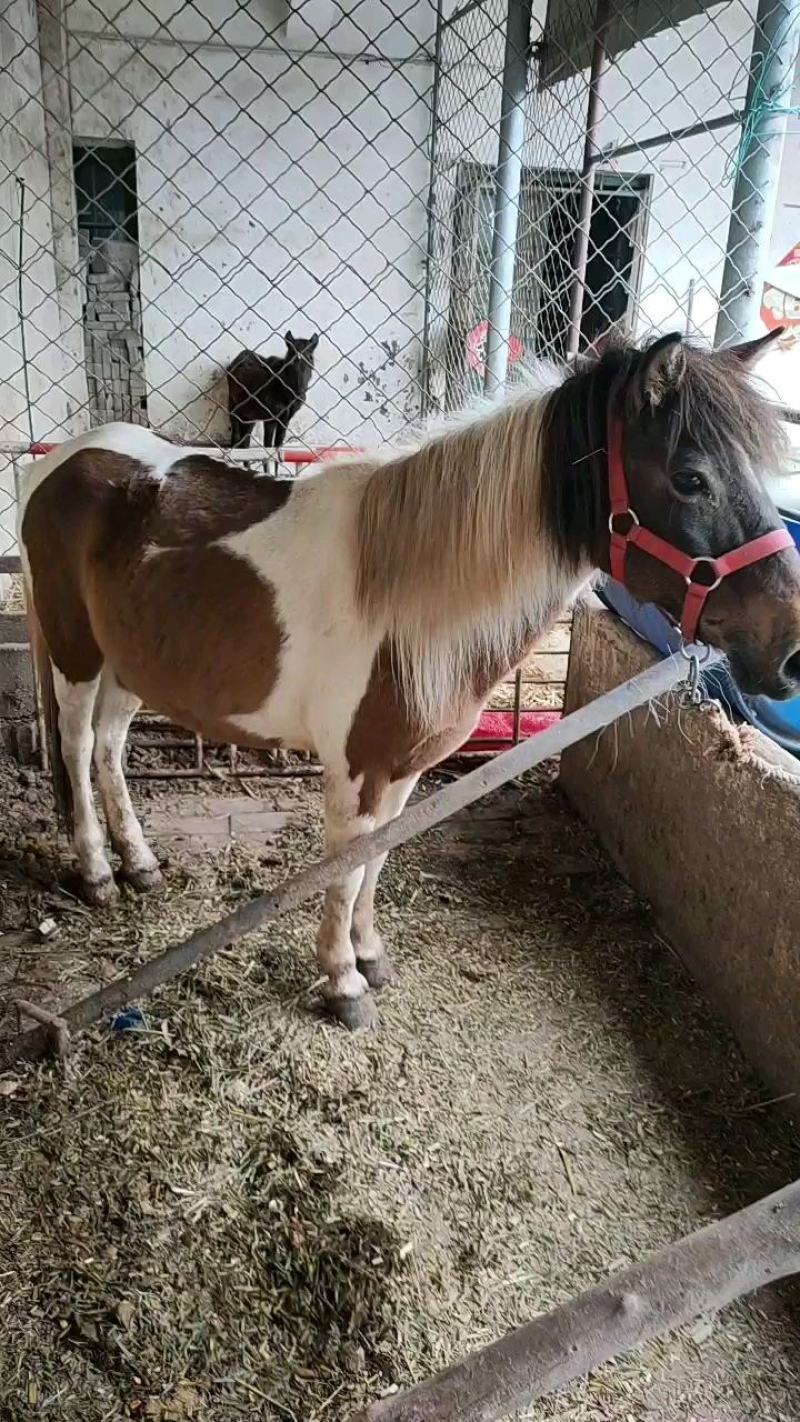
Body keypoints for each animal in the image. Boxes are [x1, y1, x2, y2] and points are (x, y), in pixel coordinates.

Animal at [19, 328, 800, 1030]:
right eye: (690, 478)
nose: (790, 649)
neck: (407, 597)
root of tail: (58, 465)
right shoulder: (358, 769)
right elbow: (344, 872)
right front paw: (342, 984)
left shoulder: (403, 768)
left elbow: (377, 861)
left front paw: (369, 957)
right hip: (76, 656)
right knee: (76, 748)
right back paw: (96, 872)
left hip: (130, 664)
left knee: (109, 748)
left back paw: (140, 863)